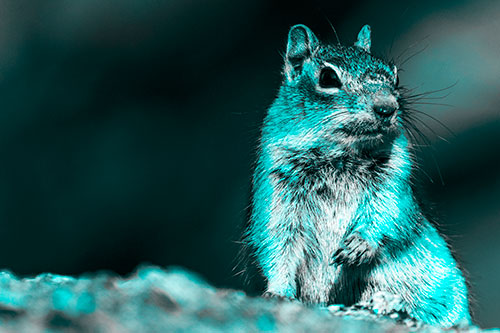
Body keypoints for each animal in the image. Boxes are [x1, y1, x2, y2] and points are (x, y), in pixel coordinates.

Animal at [244, 24, 474, 326]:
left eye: (395, 75)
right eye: (327, 77)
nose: (387, 108)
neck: (338, 155)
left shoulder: (394, 180)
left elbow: (389, 213)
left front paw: (359, 245)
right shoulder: (276, 188)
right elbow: (277, 243)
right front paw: (278, 293)